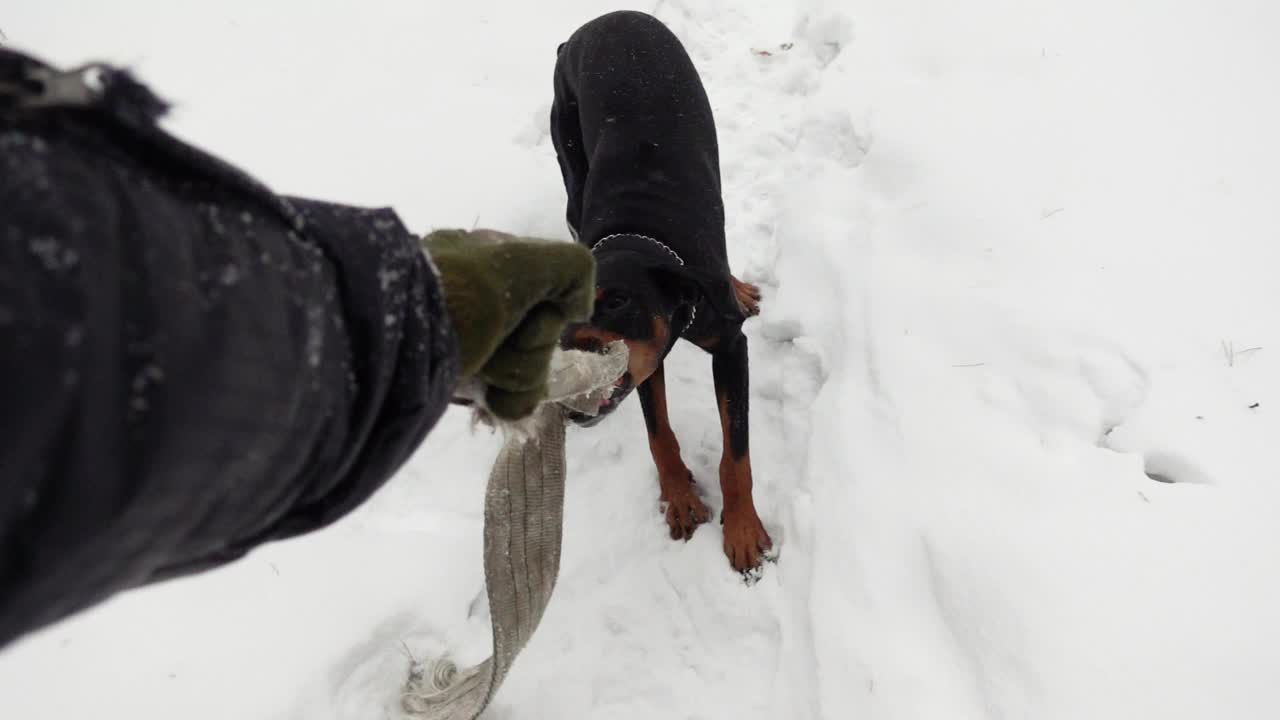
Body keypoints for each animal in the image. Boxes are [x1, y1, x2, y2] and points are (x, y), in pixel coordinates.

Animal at [550, 11, 768, 568]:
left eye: (619, 301)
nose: (567, 393)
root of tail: (601, 20)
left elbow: (736, 455)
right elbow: (659, 432)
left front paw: (742, 531)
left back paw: (735, 287)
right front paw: (681, 500)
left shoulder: (730, 347)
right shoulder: (645, 359)